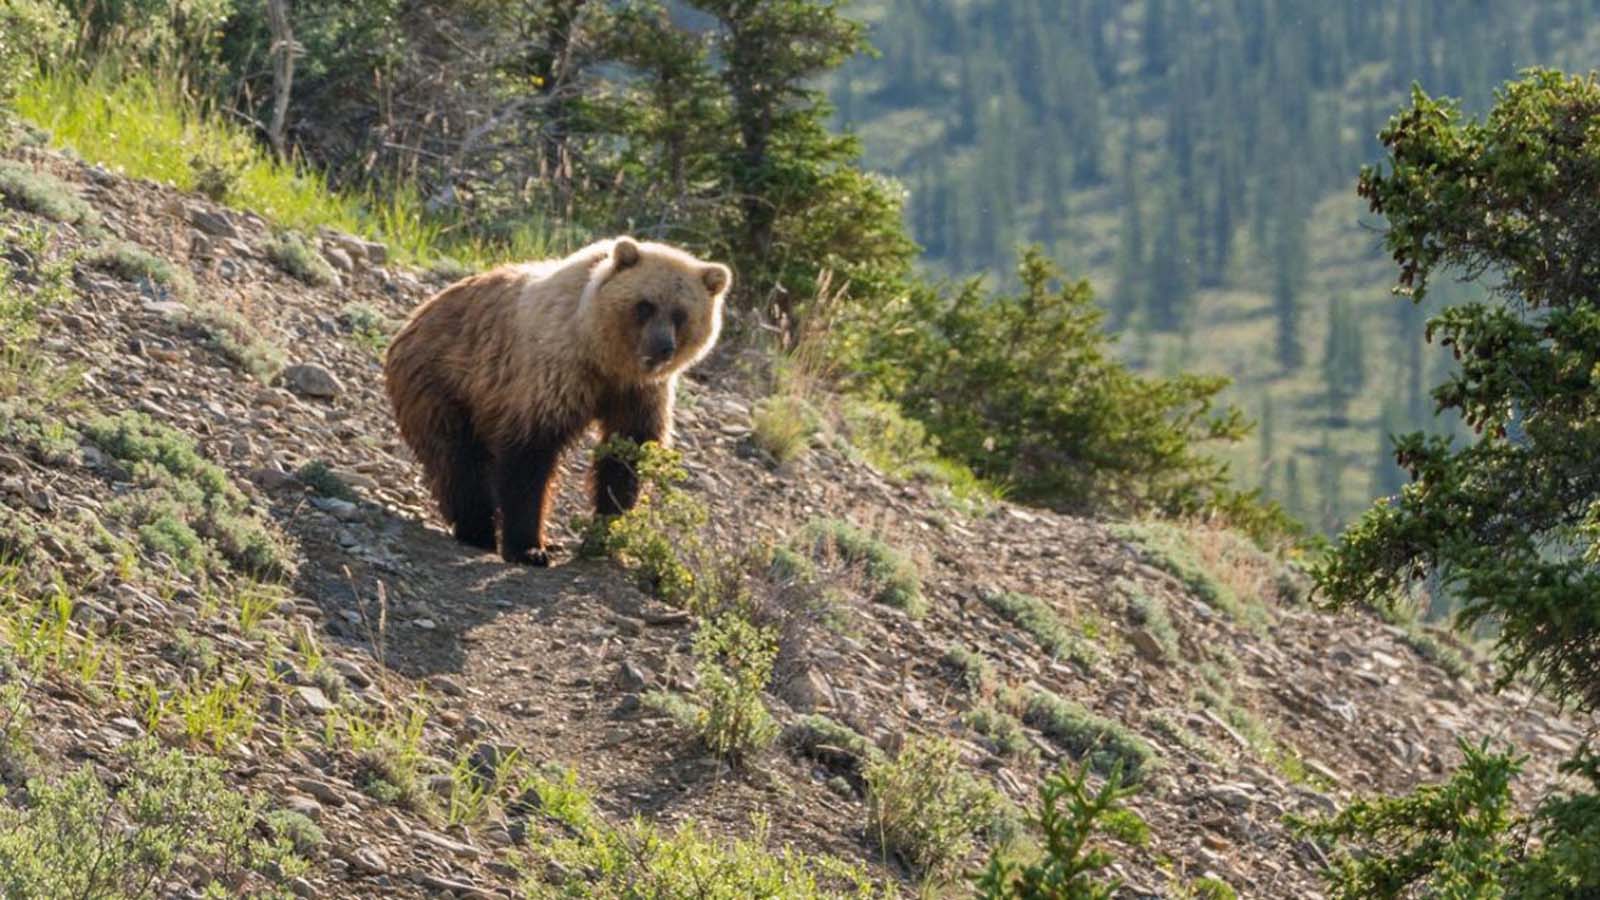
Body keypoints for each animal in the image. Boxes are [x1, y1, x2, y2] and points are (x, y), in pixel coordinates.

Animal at [384, 238, 732, 560]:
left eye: (681, 314)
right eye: (645, 305)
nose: (662, 348)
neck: (605, 358)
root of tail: (413, 319)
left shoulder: (640, 394)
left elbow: (626, 456)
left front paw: (605, 535)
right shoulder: (555, 371)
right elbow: (530, 455)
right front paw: (529, 547)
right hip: (443, 383)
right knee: (456, 459)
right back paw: (477, 530)